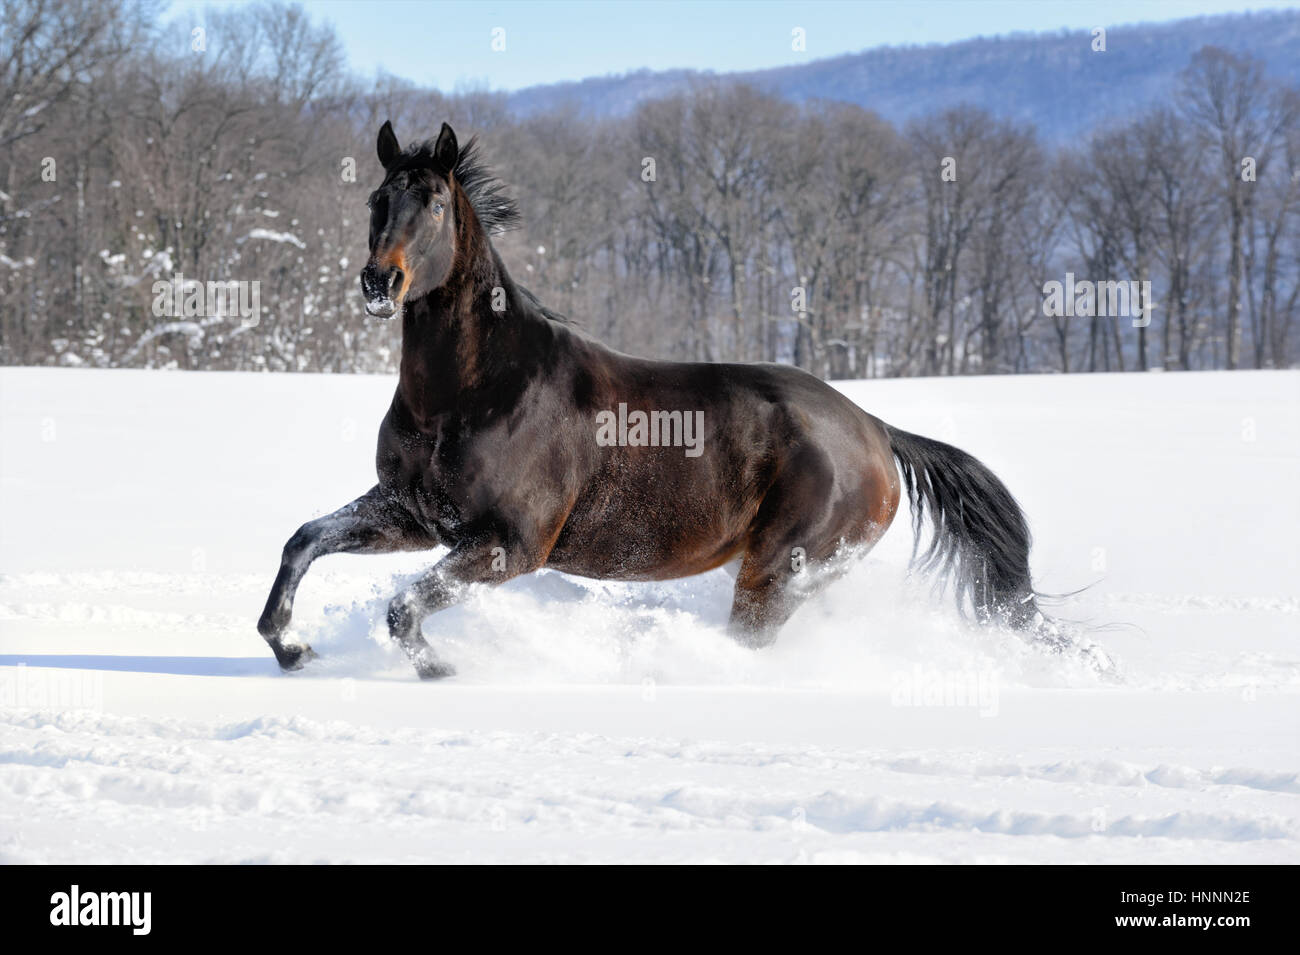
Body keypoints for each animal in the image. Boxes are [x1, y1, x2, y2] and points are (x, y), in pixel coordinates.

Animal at [258, 121, 1060, 680]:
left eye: (430, 202)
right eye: (377, 198)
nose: (379, 282)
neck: (474, 393)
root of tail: (874, 430)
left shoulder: (508, 543)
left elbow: (401, 606)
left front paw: (439, 668)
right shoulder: (414, 515)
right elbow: (304, 538)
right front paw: (290, 646)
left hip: (778, 569)